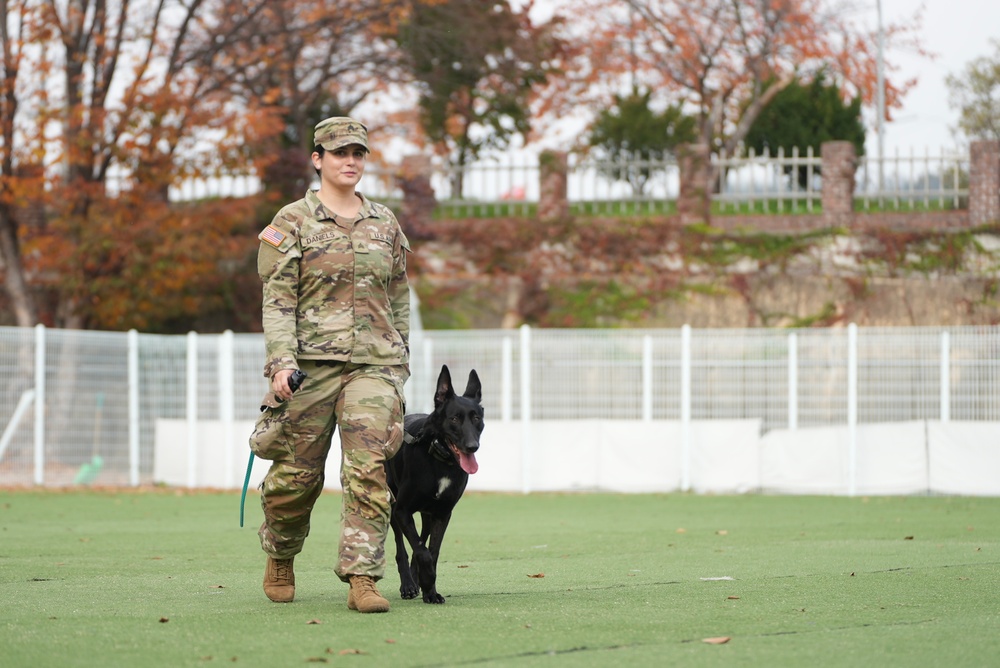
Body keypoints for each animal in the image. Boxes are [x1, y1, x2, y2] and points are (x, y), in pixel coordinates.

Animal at [386, 366, 484, 604]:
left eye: (477, 418)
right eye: (455, 418)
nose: (472, 447)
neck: (440, 459)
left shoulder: (442, 514)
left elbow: (432, 551)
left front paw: (430, 590)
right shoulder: (402, 510)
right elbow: (422, 552)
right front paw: (427, 579)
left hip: (427, 515)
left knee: (420, 540)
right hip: (392, 506)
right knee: (403, 547)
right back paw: (408, 585)